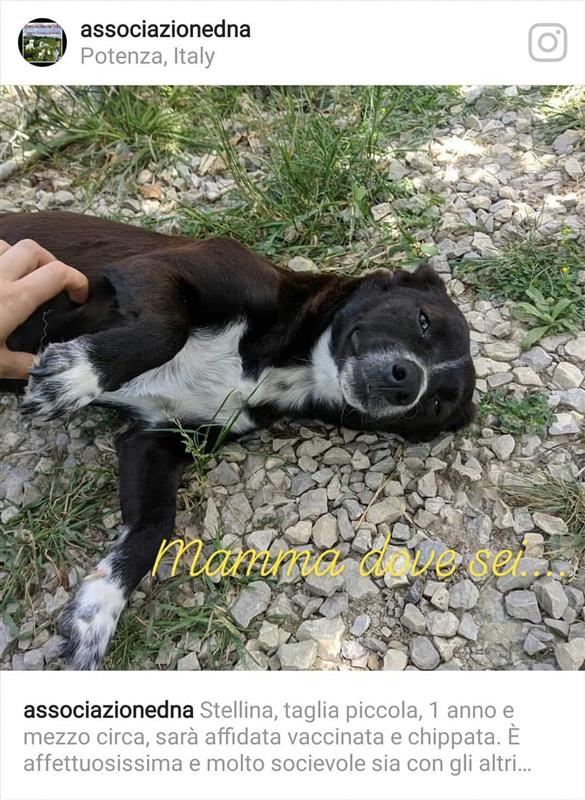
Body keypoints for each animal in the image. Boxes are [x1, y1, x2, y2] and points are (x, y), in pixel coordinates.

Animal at [0, 211, 475, 669]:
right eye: (422, 319)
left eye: (436, 404)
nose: (408, 383)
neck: (289, 366)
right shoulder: (154, 268)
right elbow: (166, 331)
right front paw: (77, 375)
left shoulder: (158, 440)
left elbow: (154, 527)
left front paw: (99, 609)